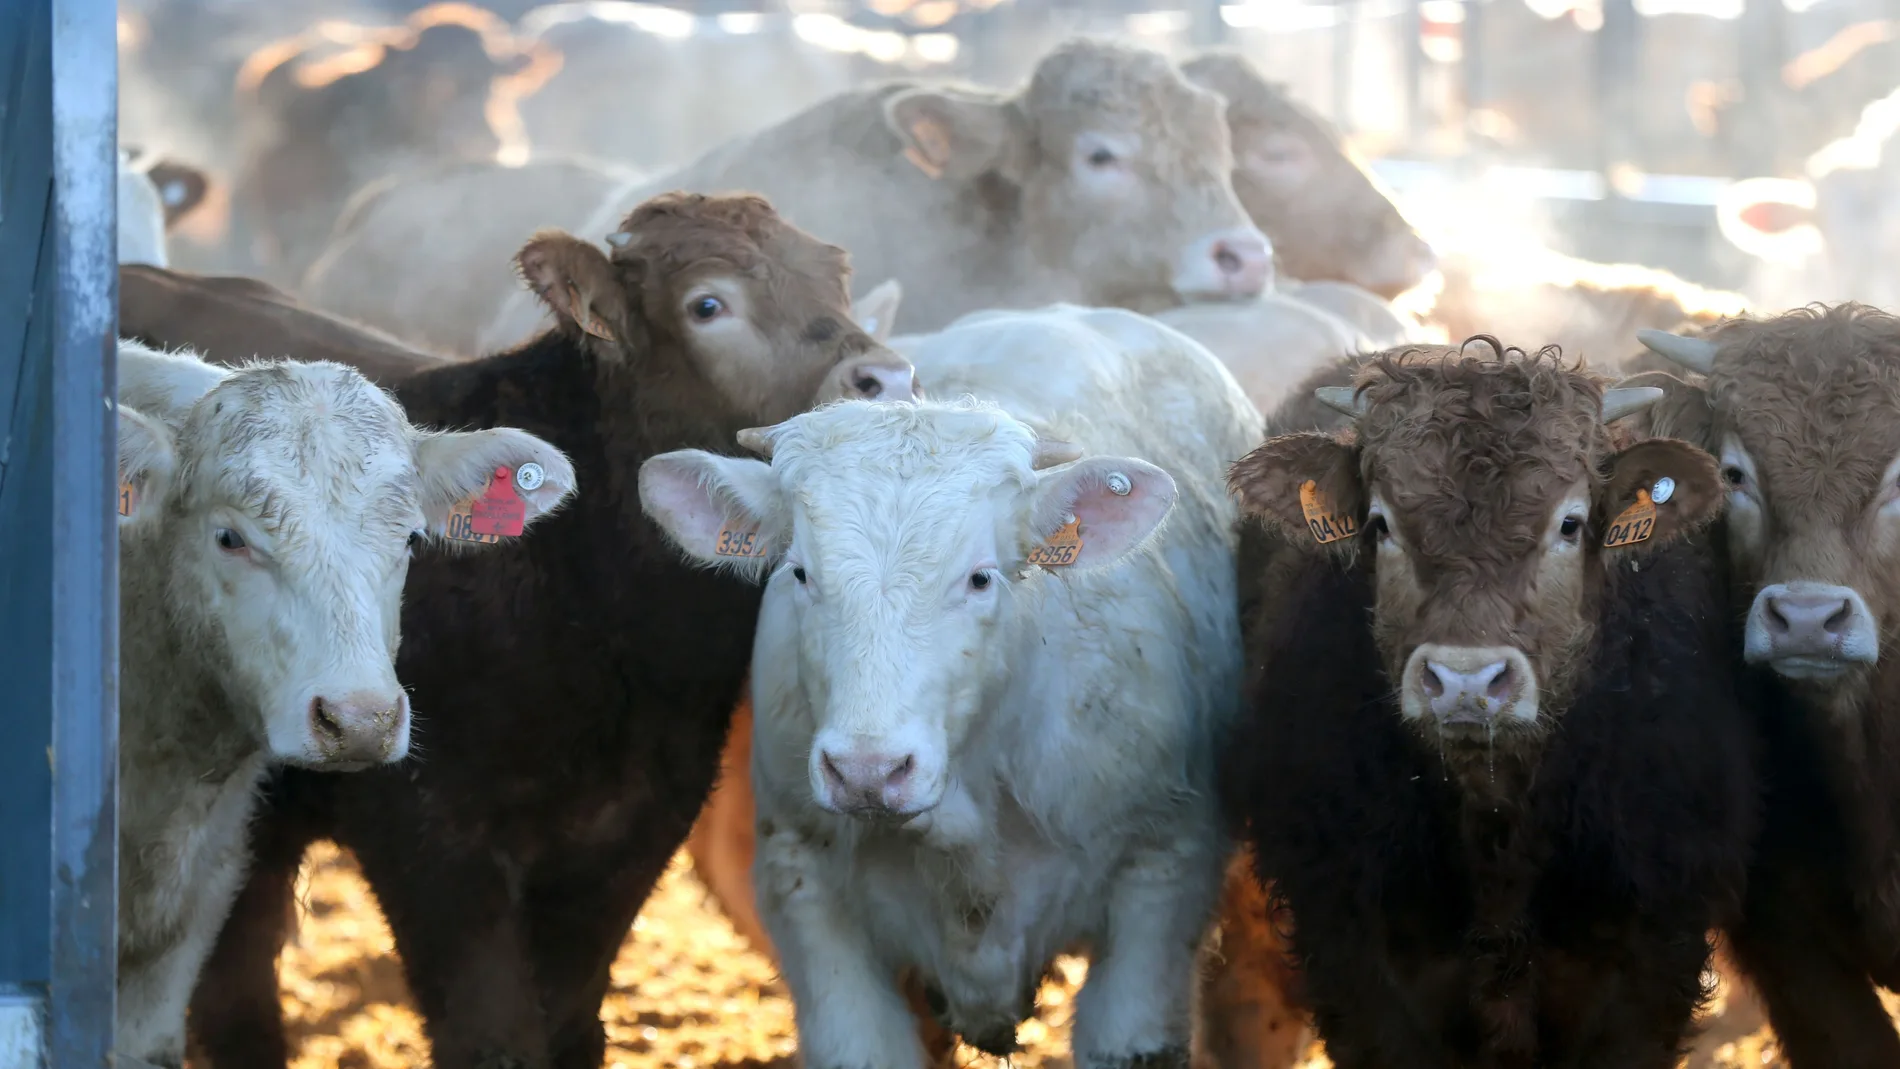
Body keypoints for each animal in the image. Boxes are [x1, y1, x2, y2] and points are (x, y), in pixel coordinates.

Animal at [185, 192, 919, 1069]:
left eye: (835, 277)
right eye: (708, 304)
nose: (884, 379)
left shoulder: (632, 831)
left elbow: (570, 1021)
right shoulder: (430, 836)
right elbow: (494, 1033)